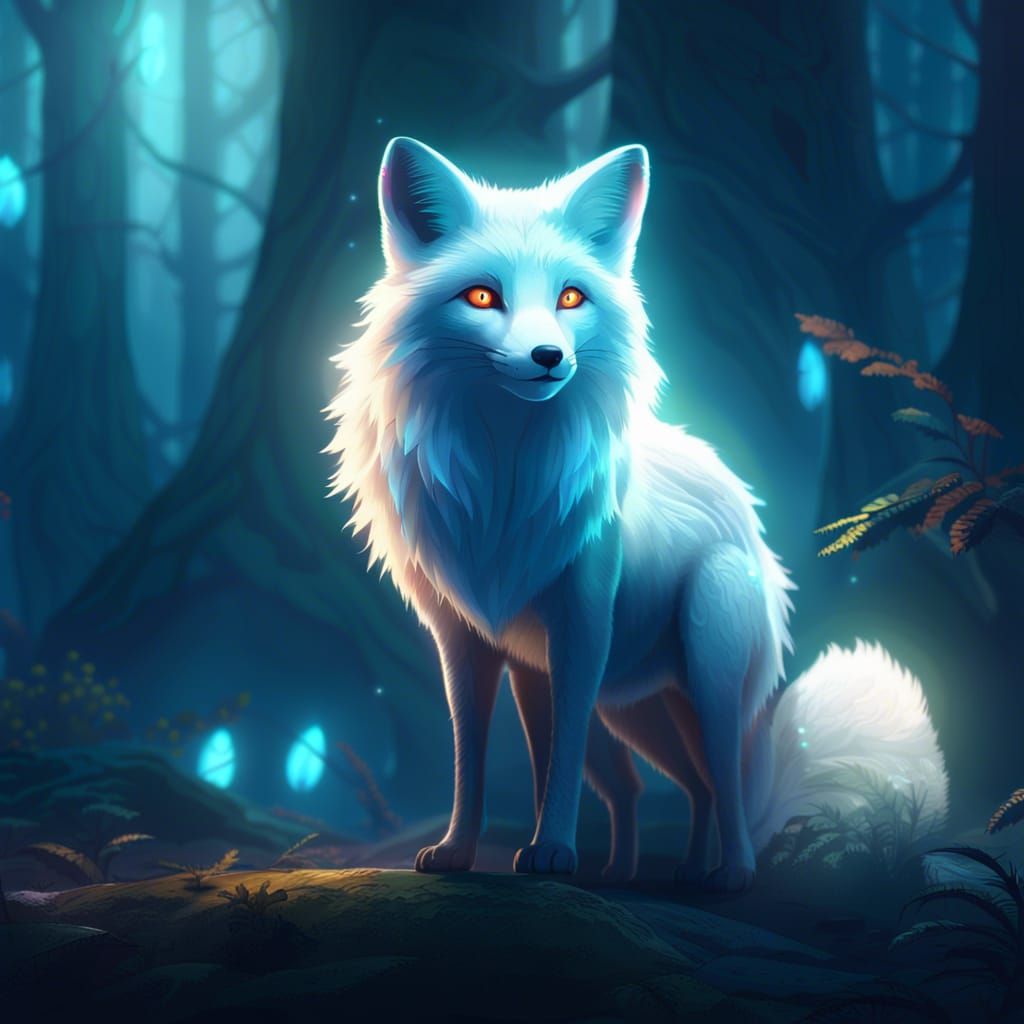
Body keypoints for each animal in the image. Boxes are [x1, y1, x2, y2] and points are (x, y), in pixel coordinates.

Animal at [326, 138, 948, 891]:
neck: (506, 475)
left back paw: (730, 873)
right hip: (629, 712)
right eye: (481, 296)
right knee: (655, 787)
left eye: (570, 297)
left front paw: (552, 851)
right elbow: (478, 758)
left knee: (724, 782)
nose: (548, 357)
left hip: (702, 678)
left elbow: (556, 765)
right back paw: (636, 872)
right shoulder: (471, 640)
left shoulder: (582, 627)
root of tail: (757, 537)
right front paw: (460, 853)